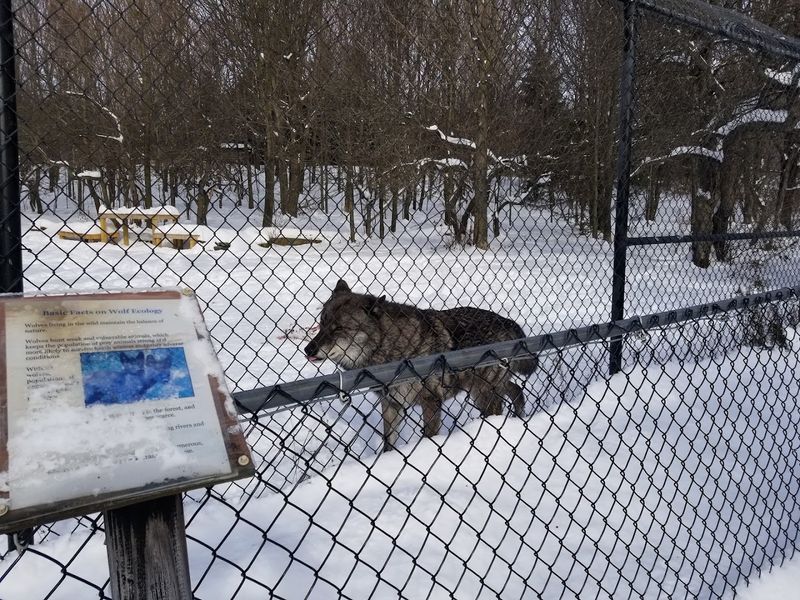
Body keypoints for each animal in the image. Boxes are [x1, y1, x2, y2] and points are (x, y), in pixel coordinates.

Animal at [304, 279, 537, 451]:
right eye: (322, 322)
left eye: (338, 328)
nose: (308, 350)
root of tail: (509, 323)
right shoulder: (391, 405)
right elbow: (388, 444)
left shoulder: (430, 401)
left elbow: (430, 436)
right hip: (484, 388)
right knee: (516, 390)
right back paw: (519, 418)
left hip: (483, 392)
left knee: (499, 407)